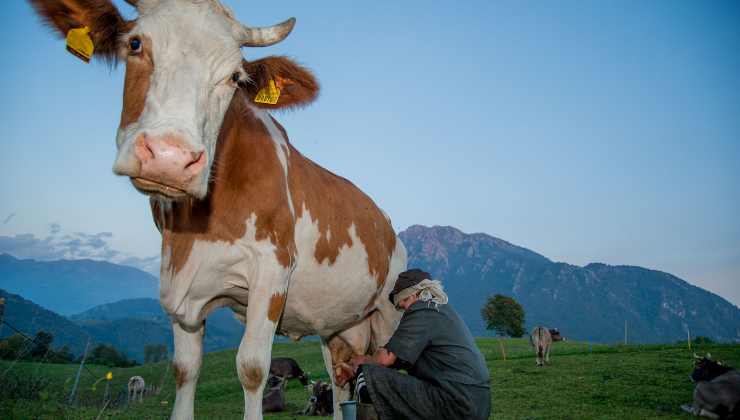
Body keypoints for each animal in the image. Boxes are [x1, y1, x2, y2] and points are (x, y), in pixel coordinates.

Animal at [27, 0, 404, 420]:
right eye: (135, 43)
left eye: (236, 77)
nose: (171, 158)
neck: (193, 230)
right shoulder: (177, 282)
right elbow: (185, 368)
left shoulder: (272, 270)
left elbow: (252, 368)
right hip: (336, 328)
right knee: (340, 380)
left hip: (391, 310)